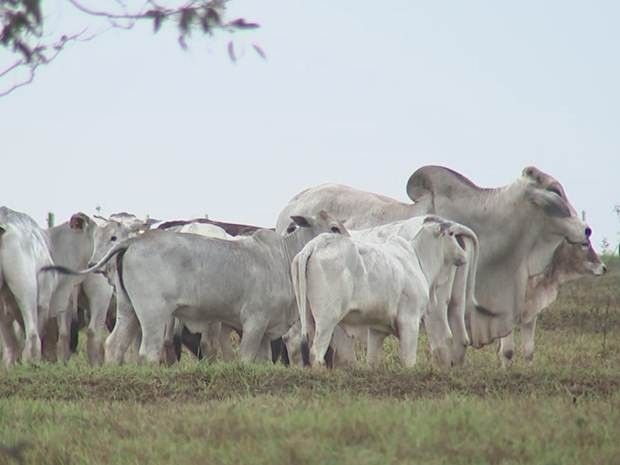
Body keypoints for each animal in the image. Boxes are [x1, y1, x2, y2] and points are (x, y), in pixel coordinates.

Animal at [294, 216, 464, 368]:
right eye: (451, 233)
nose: (463, 255)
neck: (417, 258)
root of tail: (315, 245)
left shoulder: (376, 329)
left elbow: (372, 361)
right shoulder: (410, 321)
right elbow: (409, 362)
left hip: (308, 319)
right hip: (327, 321)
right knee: (316, 354)